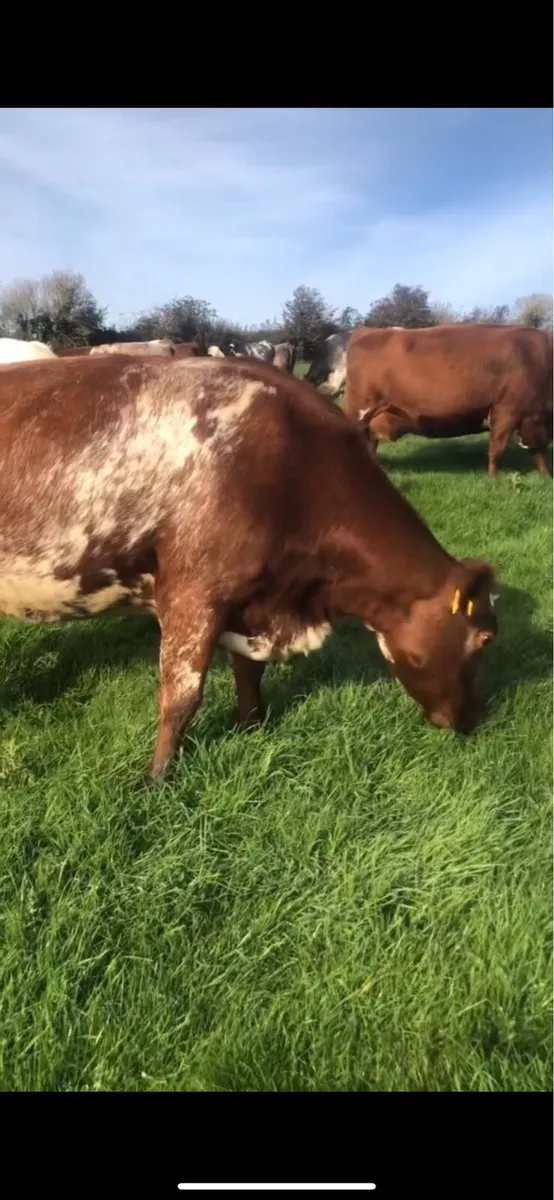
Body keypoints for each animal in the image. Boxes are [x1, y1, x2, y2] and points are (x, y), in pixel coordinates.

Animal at [0, 353, 498, 783]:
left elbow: (247, 672)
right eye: (485, 639)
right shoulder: (193, 591)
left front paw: (251, 727)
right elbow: (181, 696)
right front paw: (155, 781)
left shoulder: (248, 597)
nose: (472, 719)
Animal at [344, 323, 553, 477]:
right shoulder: (507, 410)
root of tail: (366, 330)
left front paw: (545, 477)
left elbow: (538, 450)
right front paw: (493, 480)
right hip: (359, 412)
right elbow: (497, 448)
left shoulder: (531, 418)